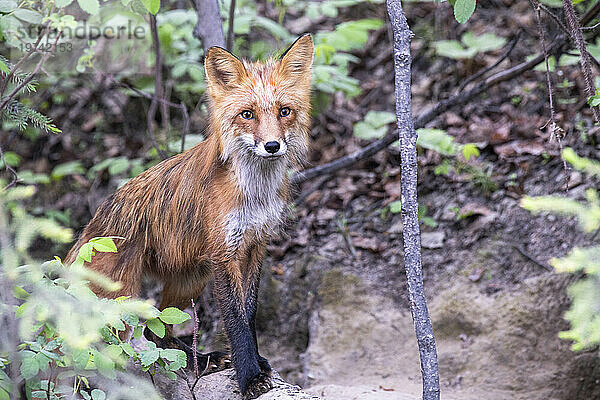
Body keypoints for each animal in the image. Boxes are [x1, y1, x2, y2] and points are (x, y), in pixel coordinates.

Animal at [65, 36, 314, 398]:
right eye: (247, 114)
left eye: (285, 111)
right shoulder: (224, 254)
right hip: (118, 302)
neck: (254, 194)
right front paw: (249, 377)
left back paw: (202, 360)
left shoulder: (255, 246)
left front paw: (255, 363)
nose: (271, 145)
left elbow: (250, 313)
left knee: (157, 333)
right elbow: (236, 320)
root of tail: (89, 230)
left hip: (191, 278)